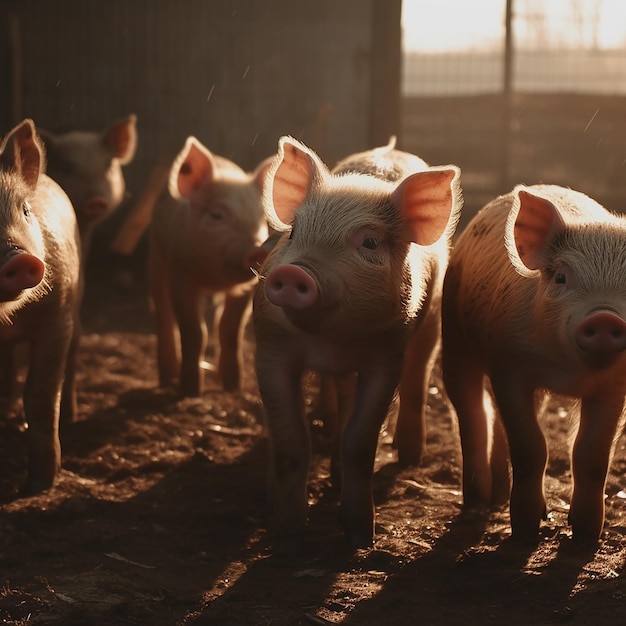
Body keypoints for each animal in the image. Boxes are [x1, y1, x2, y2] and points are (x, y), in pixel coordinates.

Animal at [149, 136, 270, 394]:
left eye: (261, 220)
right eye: (217, 215)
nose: (256, 249)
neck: (214, 277)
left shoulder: (245, 289)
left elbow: (230, 330)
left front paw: (233, 387)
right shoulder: (180, 276)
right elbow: (194, 333)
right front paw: (190, 391)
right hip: (155, 258)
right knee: (163, 313)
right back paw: (167, 379)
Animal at [251, 134, 460, 548]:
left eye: (370, 242)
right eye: (294, 232)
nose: (292, 272)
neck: (331, 341)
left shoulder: (386, 356)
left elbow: (359, 441)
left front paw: (361, 536)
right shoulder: (271, 349)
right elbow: (292, 442)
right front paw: (286, 534)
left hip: (431, 323)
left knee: (416, 378)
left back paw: (408, 458)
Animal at [438, 184, 624, 540]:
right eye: (561, 277)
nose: (605, 317)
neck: (569, 373)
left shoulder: (614, 388)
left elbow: (591, 456)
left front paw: (585, 534)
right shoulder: (509, 367)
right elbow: (530, 448)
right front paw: (525, 532)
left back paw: (498, 494)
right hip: (454, 336)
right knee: (472, 413)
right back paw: (477, 502)